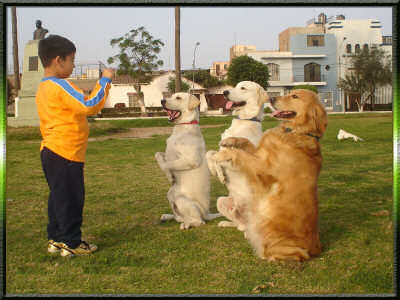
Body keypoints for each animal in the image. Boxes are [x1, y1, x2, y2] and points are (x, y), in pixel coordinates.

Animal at [155, 92, 222, 231]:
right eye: (171, 96)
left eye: (178, 98)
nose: (162, 101)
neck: (183, 127)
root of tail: (207, 213)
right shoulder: (167, 154)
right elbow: (158, 155)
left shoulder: (192, 159)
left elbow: (167, 165)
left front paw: (170, 177)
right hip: (170, 194)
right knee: (179, 216)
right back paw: (167, 216)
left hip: (184, 201)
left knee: (199, 222)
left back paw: (185, 225)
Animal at [206, 81, 268, 232]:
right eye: (236, 85)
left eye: (243, 88)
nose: (225, 92)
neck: (245, 120)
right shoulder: (221, 148)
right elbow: (209, 154)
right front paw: (213, 170)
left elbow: (218, 160)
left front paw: (221, 175)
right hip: (221, 201)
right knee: (238, 223)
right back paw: (226, 223)